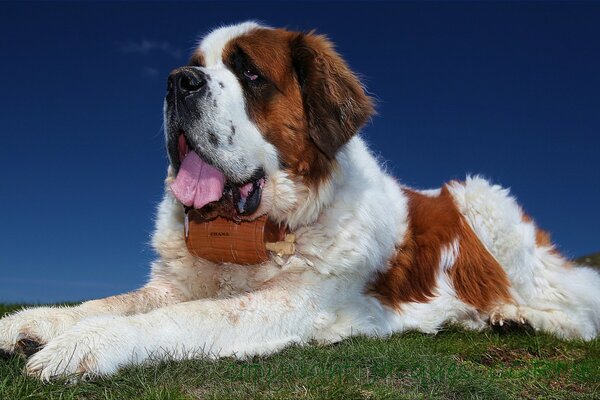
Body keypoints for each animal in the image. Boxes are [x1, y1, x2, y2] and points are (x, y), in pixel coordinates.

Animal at [1, 21, 600, 378]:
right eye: (195, 65)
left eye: (249, 73)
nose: (177, 81)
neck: (252, 231)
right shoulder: (173, 283)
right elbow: (112, 301)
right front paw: (32, 324)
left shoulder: (290, 303)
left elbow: (183, 317)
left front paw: (85, 343)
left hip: (483, 203)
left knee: (570, 307)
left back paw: (518, 317)